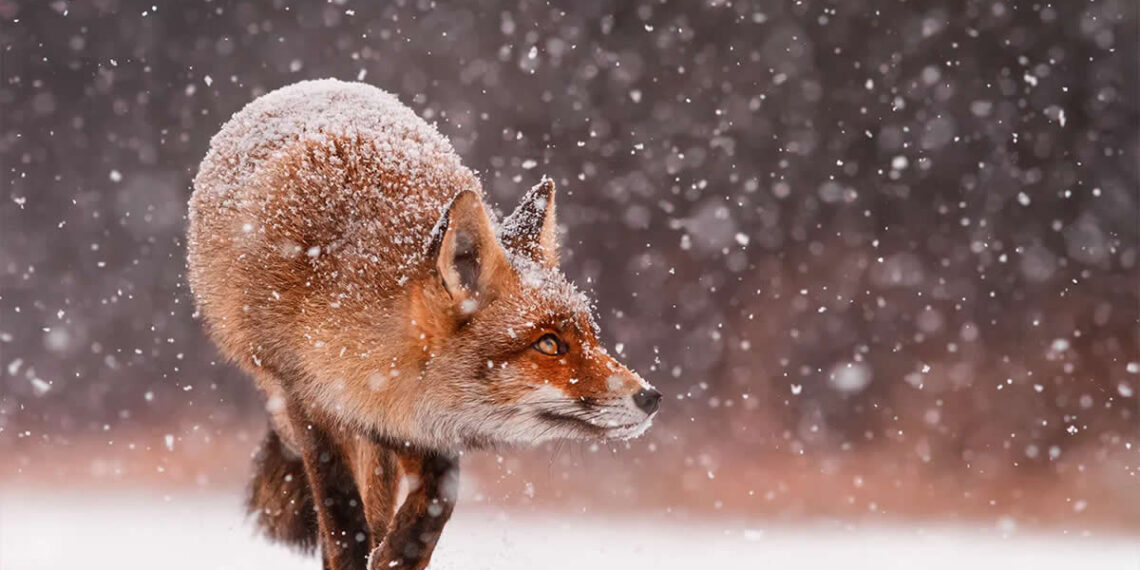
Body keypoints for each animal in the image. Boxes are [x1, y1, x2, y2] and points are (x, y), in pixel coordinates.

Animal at [186, 79, 660, 570]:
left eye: (591, 335)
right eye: (548, 344)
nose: (650, 396)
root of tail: (314, 84)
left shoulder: (422, 427)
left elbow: (435, 503)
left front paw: (398, 554)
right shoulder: (308, 400)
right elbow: (342, 520)